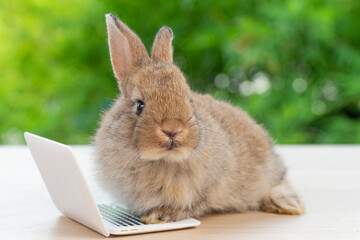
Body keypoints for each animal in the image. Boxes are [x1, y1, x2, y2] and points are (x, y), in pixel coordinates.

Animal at [94, 12, 306, 223]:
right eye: (140, 105)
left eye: (189, 100)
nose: (172, 131)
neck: (162, 159)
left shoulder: (209, 187)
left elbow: (192, 205)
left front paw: (160, 216)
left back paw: (289, 206)